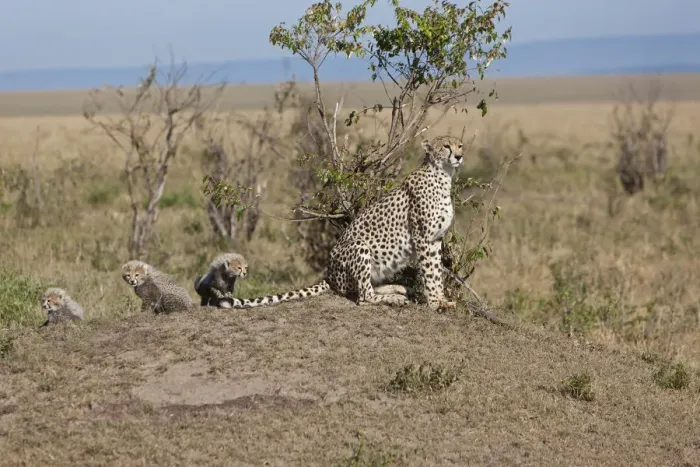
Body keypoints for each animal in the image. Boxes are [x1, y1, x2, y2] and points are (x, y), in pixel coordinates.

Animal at [226, 135, 464, 311]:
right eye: (446, 146)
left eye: (459, 145)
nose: (459, 156)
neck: (442, 175)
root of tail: (329, 274)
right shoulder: (423, 238)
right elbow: (430, 272)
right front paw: (436, 304)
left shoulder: (435, 239)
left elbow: (436, 271)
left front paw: (442, 299)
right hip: (359, 246)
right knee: (363, 296)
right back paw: (394, 298)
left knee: (365, 288)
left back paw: (397, 288)